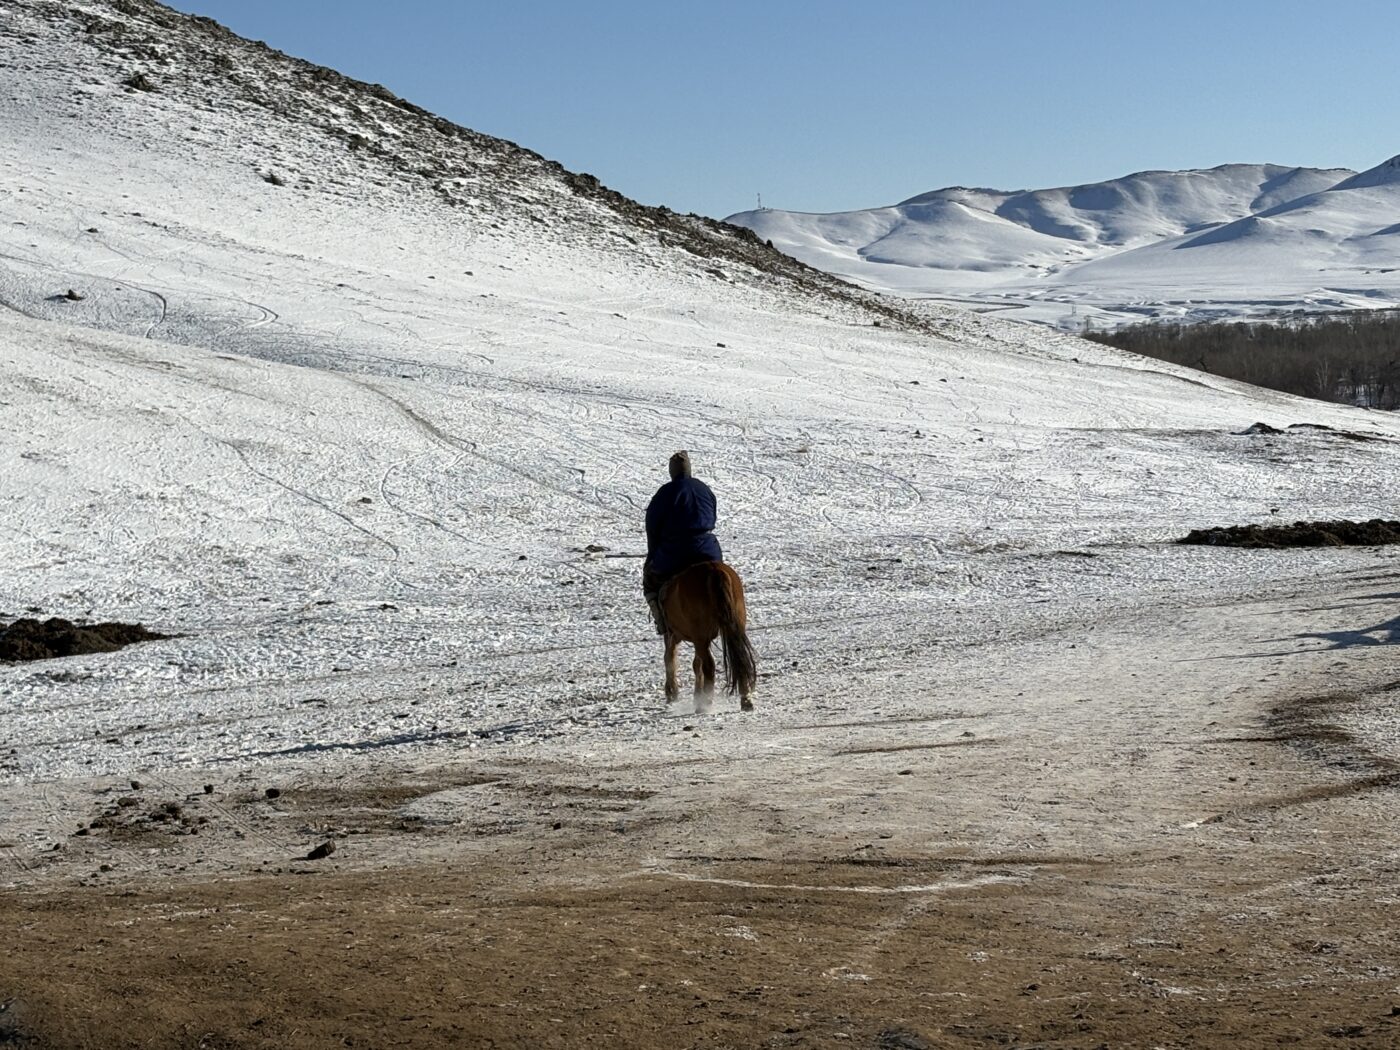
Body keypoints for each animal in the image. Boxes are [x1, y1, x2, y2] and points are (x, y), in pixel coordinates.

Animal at [659, 560, 757, 713]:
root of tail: (713, 570)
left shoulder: (673, 634)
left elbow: (670, 659)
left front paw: (672, 692)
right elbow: (695, 663)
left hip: (699, 637)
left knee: (709, 665)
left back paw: (705, 703)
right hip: (734, 628)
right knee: (740, 658)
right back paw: (745, 699)